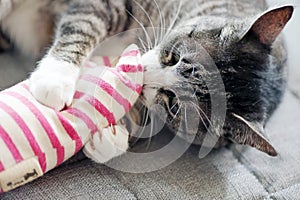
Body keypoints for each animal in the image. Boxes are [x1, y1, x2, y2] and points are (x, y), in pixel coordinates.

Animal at [0, 0, 294, 162]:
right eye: (174, 56)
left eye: (174, 105)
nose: (142, 71)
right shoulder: (110, 3)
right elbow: (85, 25)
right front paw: (55, 78)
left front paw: (109, 139)